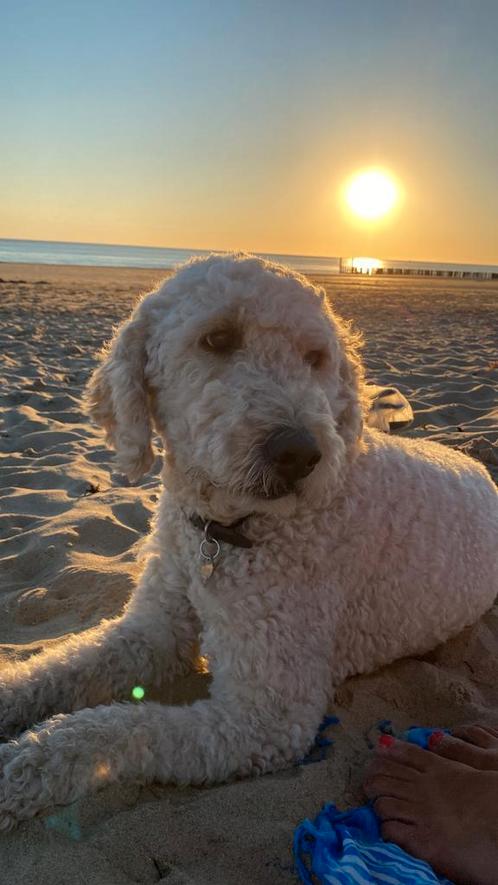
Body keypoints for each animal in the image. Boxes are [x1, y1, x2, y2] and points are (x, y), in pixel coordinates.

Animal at [0, 254, 496, 828]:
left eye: (315, 358)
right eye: (218, 338)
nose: (300, 453)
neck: (224, 535)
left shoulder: (263, 721)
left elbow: (119, 729)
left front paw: (23, 763)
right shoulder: (154, 629)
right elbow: (58, 668)